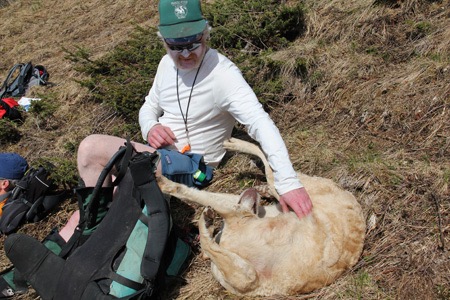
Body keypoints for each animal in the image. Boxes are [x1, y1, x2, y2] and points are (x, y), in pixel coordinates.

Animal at [156, 139, 364, 298]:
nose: (249, 192)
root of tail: (348, 195)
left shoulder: (246, 273)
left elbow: (193, 197)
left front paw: (164, 183)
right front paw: (206, 223)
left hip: (287, 190)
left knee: (270, 166)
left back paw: (236, 144)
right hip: (276, 200)